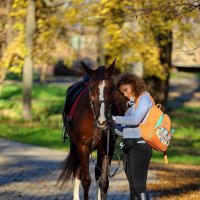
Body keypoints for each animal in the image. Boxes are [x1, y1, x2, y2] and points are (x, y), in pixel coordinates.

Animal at [57, 59, 124, 200]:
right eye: (92, 88)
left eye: (111, 88)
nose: (102, 121)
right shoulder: (83, 147)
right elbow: (86, 180)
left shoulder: (107, 148)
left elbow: (104, 182)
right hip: (75, 147)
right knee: (77, 172)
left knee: (97, 173)